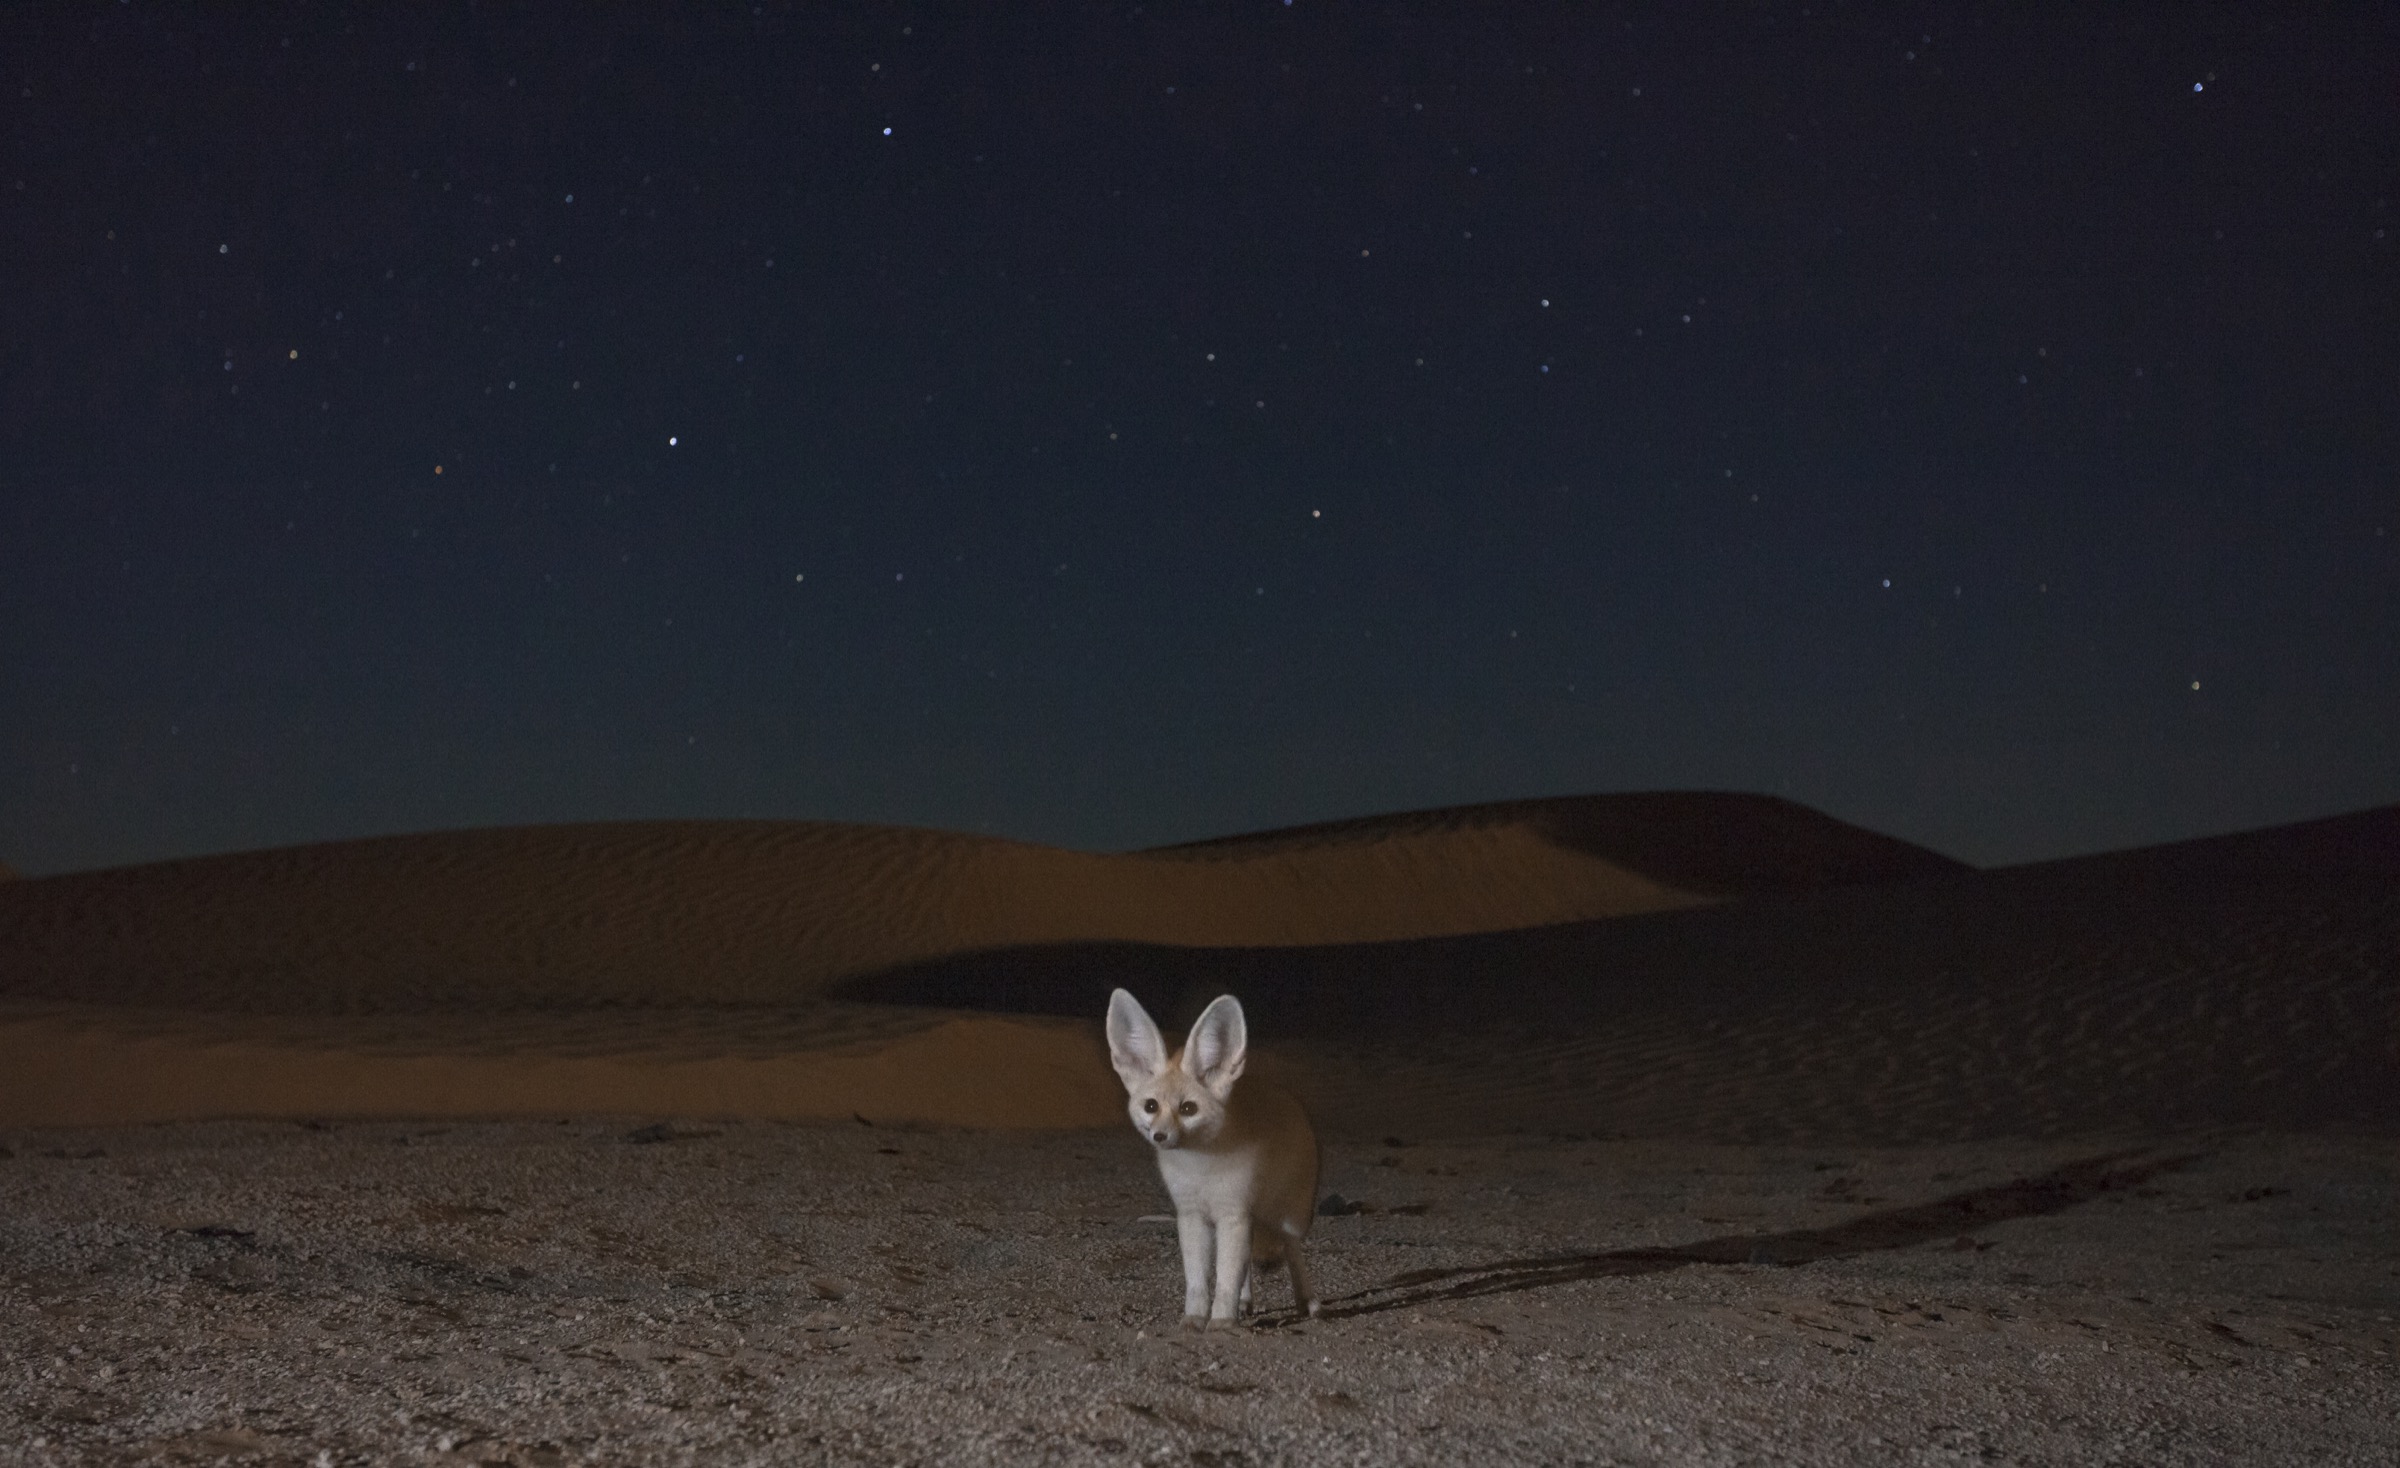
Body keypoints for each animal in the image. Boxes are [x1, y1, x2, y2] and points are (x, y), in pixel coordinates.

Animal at [1105, 988, 1321, 1328]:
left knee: (1291, 1250)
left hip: (1290, 1218)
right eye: (1151, 1106)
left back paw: (1305, 1299)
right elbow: (1198, 1280)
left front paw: (1220, 1323)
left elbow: (1226, 1279)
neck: (1200, 1169)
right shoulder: (1193, 1215)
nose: (1160, 1136)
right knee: (1249, 1264)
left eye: (1188, 1109)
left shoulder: (1233, 1214)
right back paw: (1246, 1302)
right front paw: (1194, 1320)